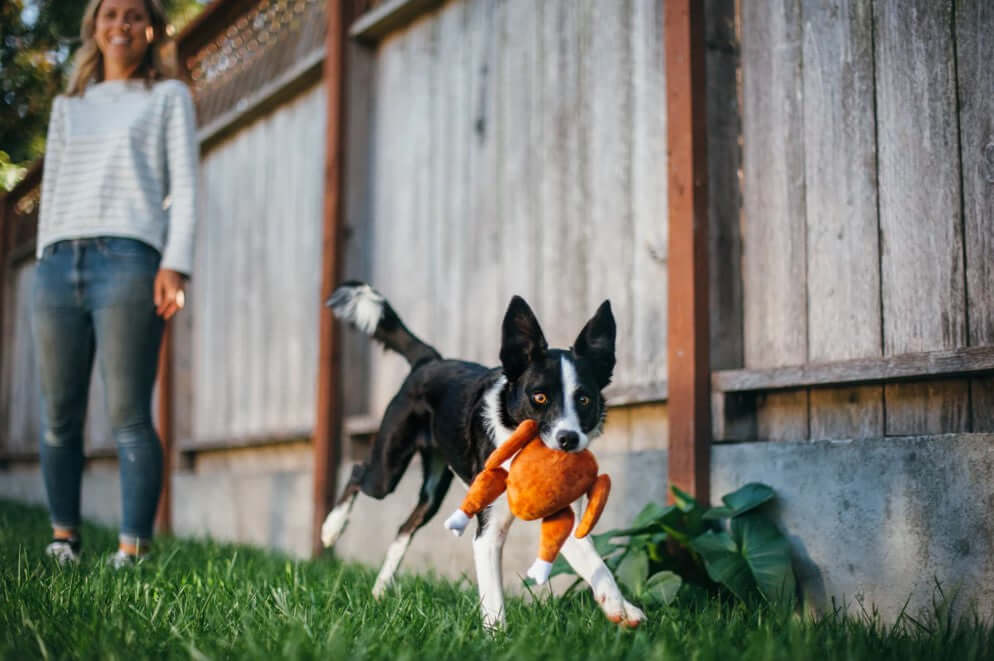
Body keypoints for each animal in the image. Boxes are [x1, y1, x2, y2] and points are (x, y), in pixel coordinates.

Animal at [318, 280, 644, 628]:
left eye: (584, 399)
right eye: (539, 397)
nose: (568, 439)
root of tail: (429, 361)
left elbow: (598, 566)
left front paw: (619, 606)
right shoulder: (488, 532)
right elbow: (494, 596)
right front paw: (497, 634)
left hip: (433, 491)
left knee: (405, 527)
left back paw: (380, 589)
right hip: (387, 469)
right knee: (357, 474)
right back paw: (331, 529)